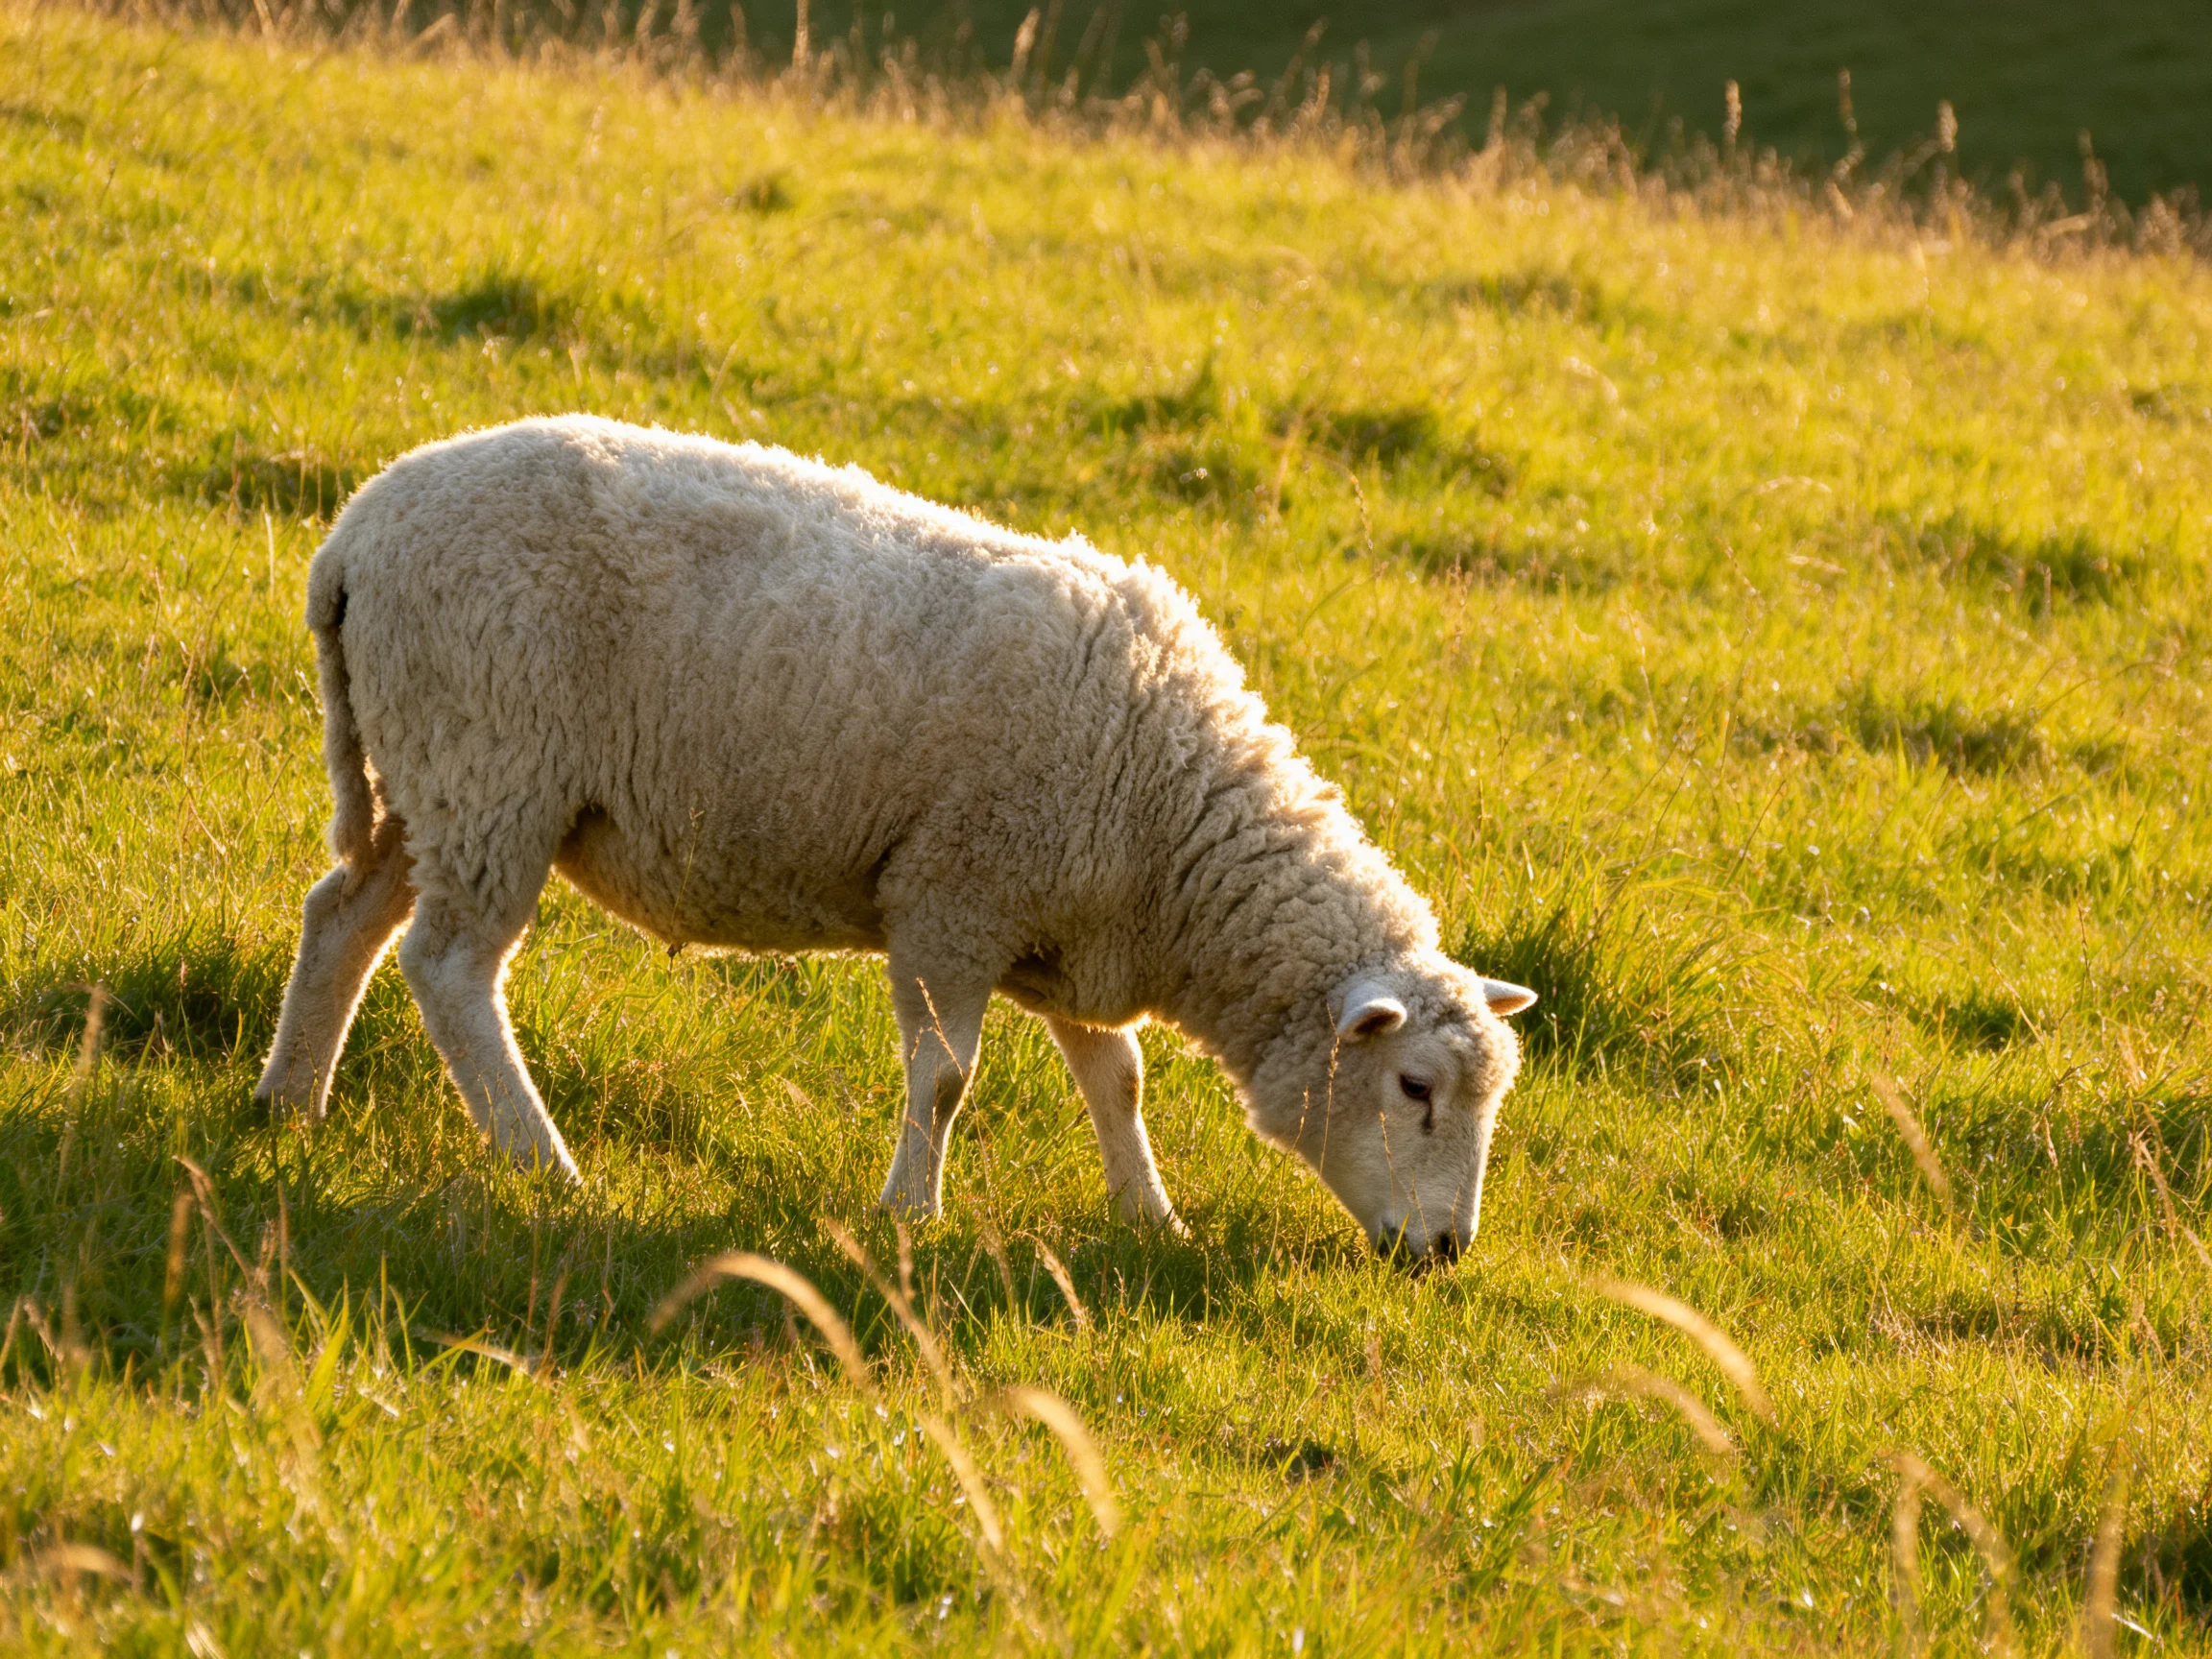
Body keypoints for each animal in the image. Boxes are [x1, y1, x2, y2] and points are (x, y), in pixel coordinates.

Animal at [255, 415, 1535, 1265]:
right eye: (1414, 1085)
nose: (1447, 1250)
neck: (1170, 811)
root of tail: (355, 535)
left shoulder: (1073, 934)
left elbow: (1116, 1082)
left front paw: (1150, 1213)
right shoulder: (953, 899)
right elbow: (949, 1079)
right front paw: (912, 1214)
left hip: (426, 773)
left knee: (344, 918)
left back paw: (291, 1102)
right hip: (492, 764)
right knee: (449, 969)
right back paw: (543, 1164)